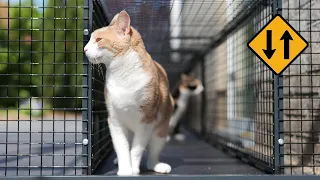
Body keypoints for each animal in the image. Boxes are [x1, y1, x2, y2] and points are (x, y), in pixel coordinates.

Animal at [82, 10, 172, 176]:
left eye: (98, 39)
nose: (84, 49)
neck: (122, 74)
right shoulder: (115, 121)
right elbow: (122, 148)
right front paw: (125, 169)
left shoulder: (147, 121)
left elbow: (136, 150)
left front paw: (134, 169)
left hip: (160, 131)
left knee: (152, 153)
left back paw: (157, 165)